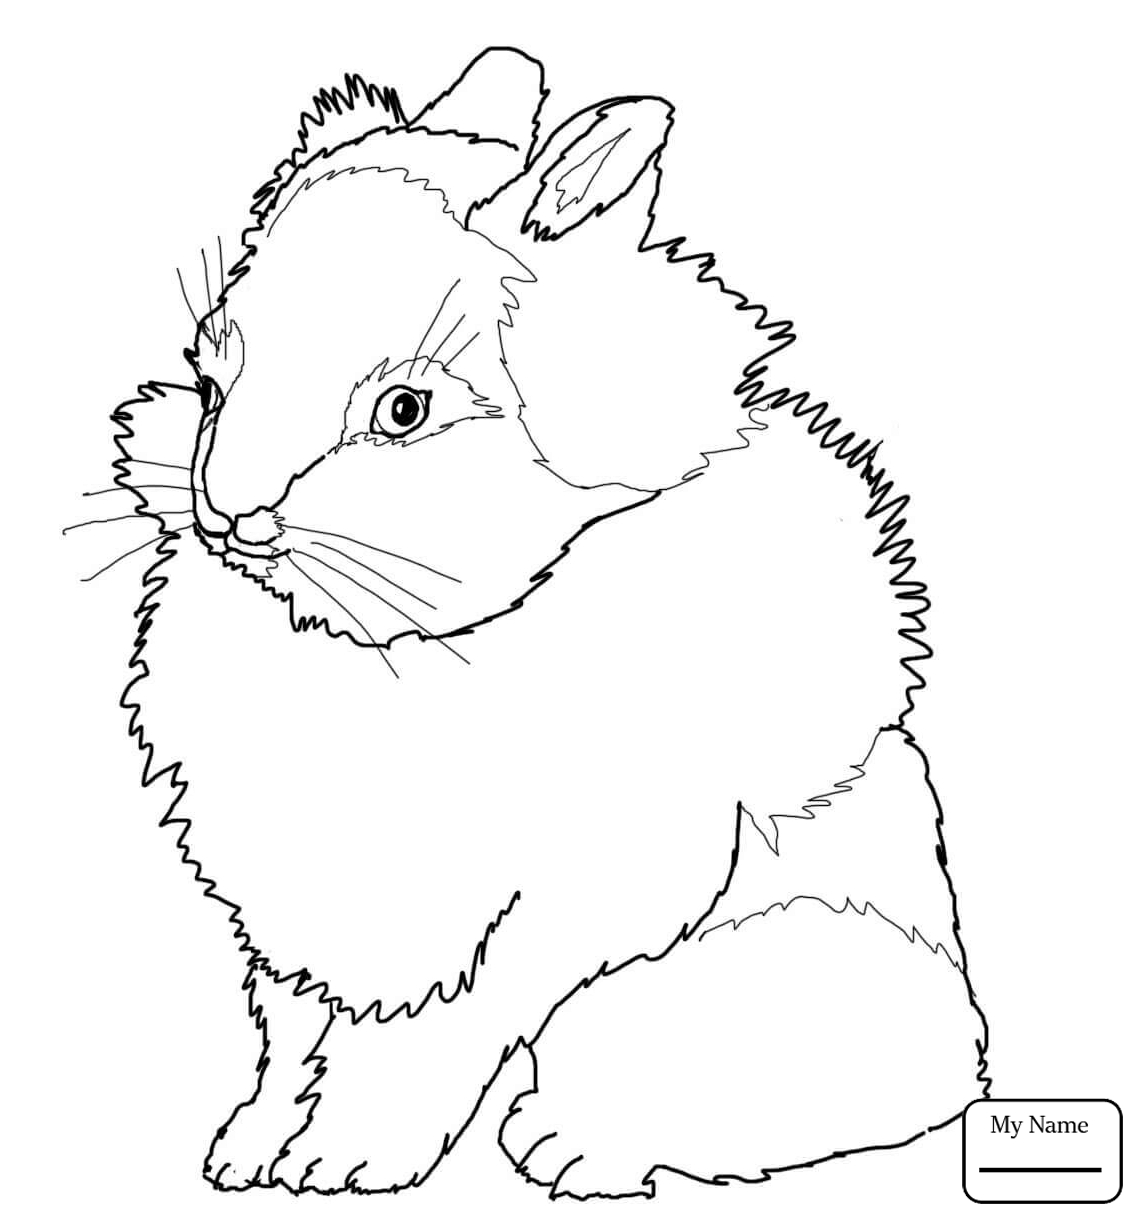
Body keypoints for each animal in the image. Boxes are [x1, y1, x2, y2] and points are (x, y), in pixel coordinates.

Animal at [103, 47, 988, 1199]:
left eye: (404, 412)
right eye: (212, 378)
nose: (228, 517)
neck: (411, 641)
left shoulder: (561, 894)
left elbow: (431, 1033)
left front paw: (348, 1161)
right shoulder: (304, 906)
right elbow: (295, 1032)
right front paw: (250, 1153)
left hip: (780, 971)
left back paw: (566, 1148)